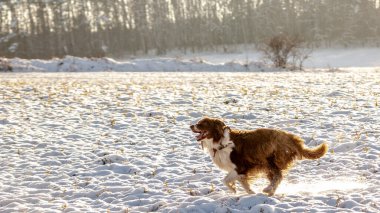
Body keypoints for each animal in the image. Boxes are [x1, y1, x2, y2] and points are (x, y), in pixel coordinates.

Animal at [191, 117, 328, 196]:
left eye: (202, 123)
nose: (191, 125)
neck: (219, 141)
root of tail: (291, 138)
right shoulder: (240, 171)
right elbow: (241, 182)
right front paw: (249, 192)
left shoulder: (241, 167)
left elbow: (225, 180)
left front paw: (234, 190)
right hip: (268, 164)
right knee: (277, 177)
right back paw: (270, 191)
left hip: (271, 159)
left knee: (278, 176)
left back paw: (267, 189)